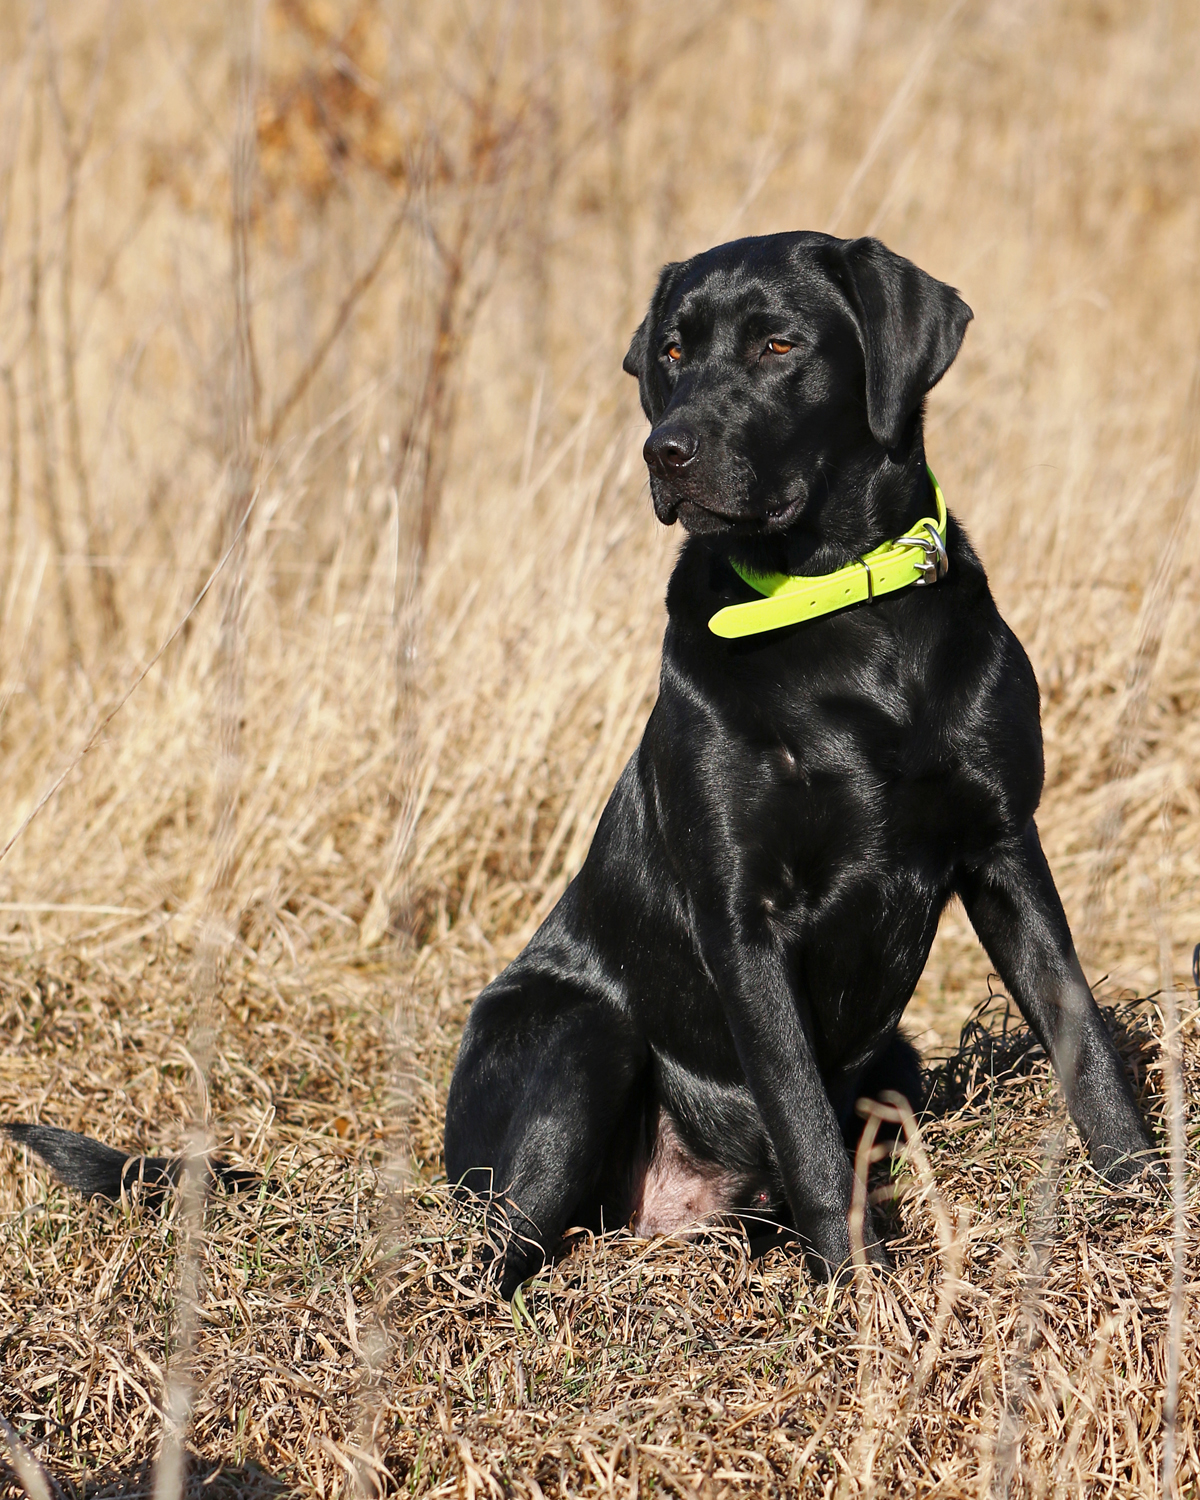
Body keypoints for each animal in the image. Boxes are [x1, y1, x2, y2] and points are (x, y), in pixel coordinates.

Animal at [444, 228, 1158, 1296]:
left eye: (779, 346)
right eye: (673, 353)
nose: (665, 452)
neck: (837, 609)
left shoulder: (1003, 846)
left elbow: (1082, 1035)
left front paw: (1144, 1202)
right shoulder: (744, 917)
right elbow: (805, 1123)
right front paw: (864, 1294)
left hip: (895, 1055)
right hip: (576, 1038)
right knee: (489, 1251)